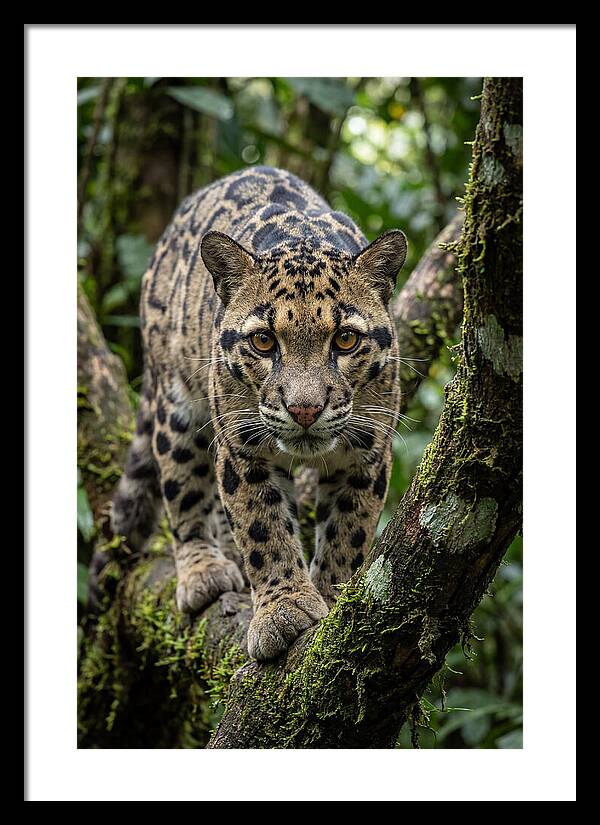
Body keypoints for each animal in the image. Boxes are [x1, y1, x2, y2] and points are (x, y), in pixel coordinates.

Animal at [111, 165, 407, 661]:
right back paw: (204, 570)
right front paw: (284, 611)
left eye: (346, 339)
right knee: (183, 489)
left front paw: (333, 596)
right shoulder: (242, 447)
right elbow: (262, 528)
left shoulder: (367, 450)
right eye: (264, 341)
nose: (305, 408)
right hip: (176, 404)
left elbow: (349, 530)